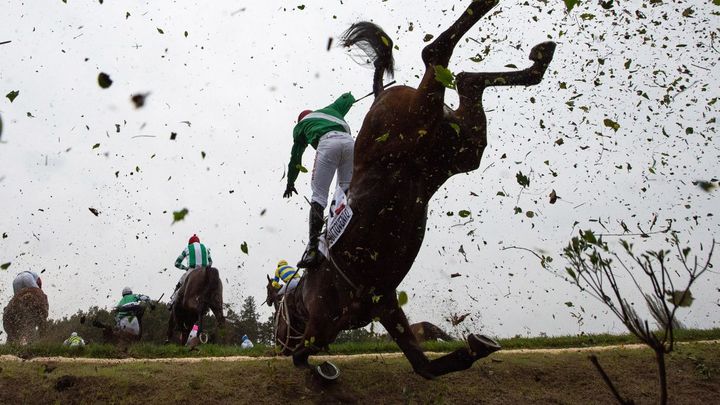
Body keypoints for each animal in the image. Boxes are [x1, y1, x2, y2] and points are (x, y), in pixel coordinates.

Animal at [278, 0, 556, 378]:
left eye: (276, 310)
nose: (277, 341)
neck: (304, 294)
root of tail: (381, 94)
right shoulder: (384, 304)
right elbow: (424, 366)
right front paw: (476, 346)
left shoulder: (322, 324)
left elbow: (304, 353)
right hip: (456, 150)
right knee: (466, 80)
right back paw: (537, 61)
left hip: (410, 124)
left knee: (434, 53)